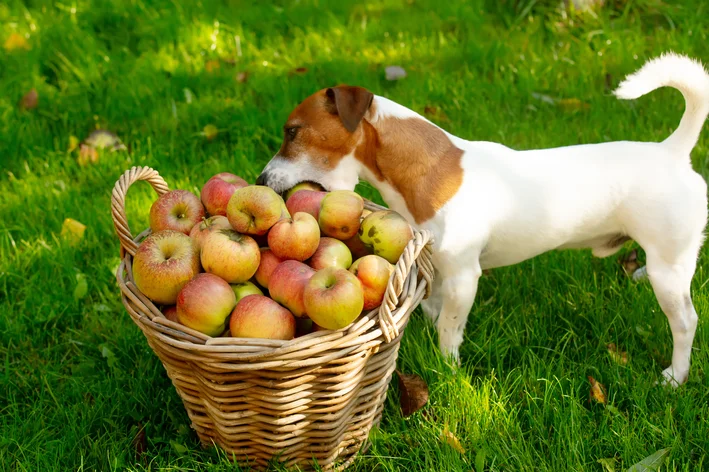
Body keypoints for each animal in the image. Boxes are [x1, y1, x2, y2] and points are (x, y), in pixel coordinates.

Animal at [256, 54, 708, 388]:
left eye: (292, 132)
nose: (260, 180)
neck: (429, 170)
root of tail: (672, 150)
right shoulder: (434, 265)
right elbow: (433, 306)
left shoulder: (463, 276)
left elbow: (449, 328)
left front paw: (447, 368)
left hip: (671, 270)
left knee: (686, 322)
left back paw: (675, 376)